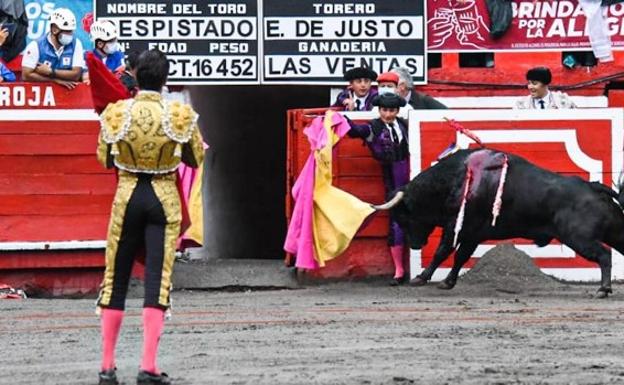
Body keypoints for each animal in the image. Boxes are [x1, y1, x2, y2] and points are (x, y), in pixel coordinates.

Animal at [378, 148, 624, 296]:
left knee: (604, 255)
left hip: (578, 238)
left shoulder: (457, 227)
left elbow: (443, 251)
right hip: (614, 232)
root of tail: (594, 187)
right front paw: (447, 282)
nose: (415, 245)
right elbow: (460, 257)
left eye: (403, 216)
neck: (456, 179)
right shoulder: (472, 235)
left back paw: (603, 289)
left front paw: (421, 278)